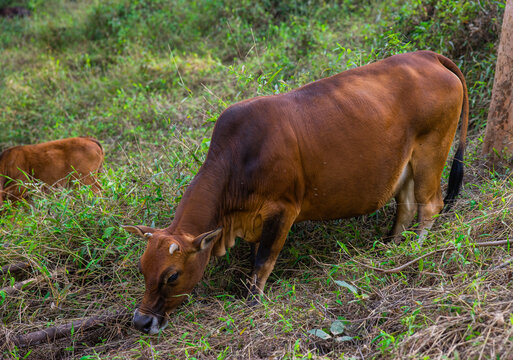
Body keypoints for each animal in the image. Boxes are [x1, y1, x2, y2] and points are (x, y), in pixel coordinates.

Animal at [122, 50, 466, 334]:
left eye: (172, 276)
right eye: (142, 269)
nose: (141, 322)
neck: (237, 161)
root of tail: (428, 56)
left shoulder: (282, 210)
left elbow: (263, 263)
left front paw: (253, 304)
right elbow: (255, 260)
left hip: (431, 151)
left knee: (430, 204)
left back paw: (414, 250)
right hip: (404, 165)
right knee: (406, 206)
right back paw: (391, 248)